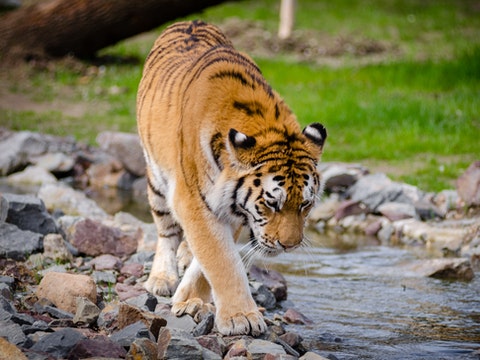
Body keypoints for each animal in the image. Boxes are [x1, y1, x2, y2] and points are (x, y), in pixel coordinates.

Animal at [137, 19, 328, 334]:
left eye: (305, 204)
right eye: (271, 204)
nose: (289, 246)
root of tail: (190, 21)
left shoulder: (234, 208)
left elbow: (210, 258)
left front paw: (189, 299)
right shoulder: (192, 199)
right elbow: (221, 259)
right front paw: (241, 318)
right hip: (156, 179)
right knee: (166, 231)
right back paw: (162, 278)